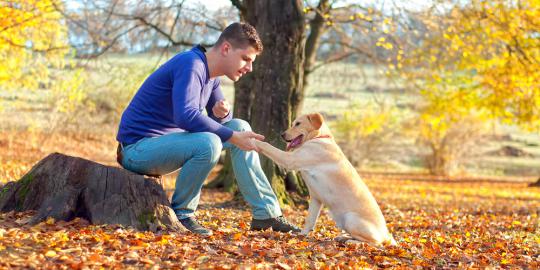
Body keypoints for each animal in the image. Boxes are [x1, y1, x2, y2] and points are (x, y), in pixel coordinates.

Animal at [253, 112, 396, 247]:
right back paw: (343, 237)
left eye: (298, 124)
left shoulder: (290, 159)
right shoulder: (316, 198)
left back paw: (351, 242)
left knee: (375, 243)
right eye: (293, 123)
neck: (319, 138)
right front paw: (302, 235)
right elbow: (310, 220)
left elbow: (268, 146)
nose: (282, 135)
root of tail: (387, 234)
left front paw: (254, 140)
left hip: (351, 219)